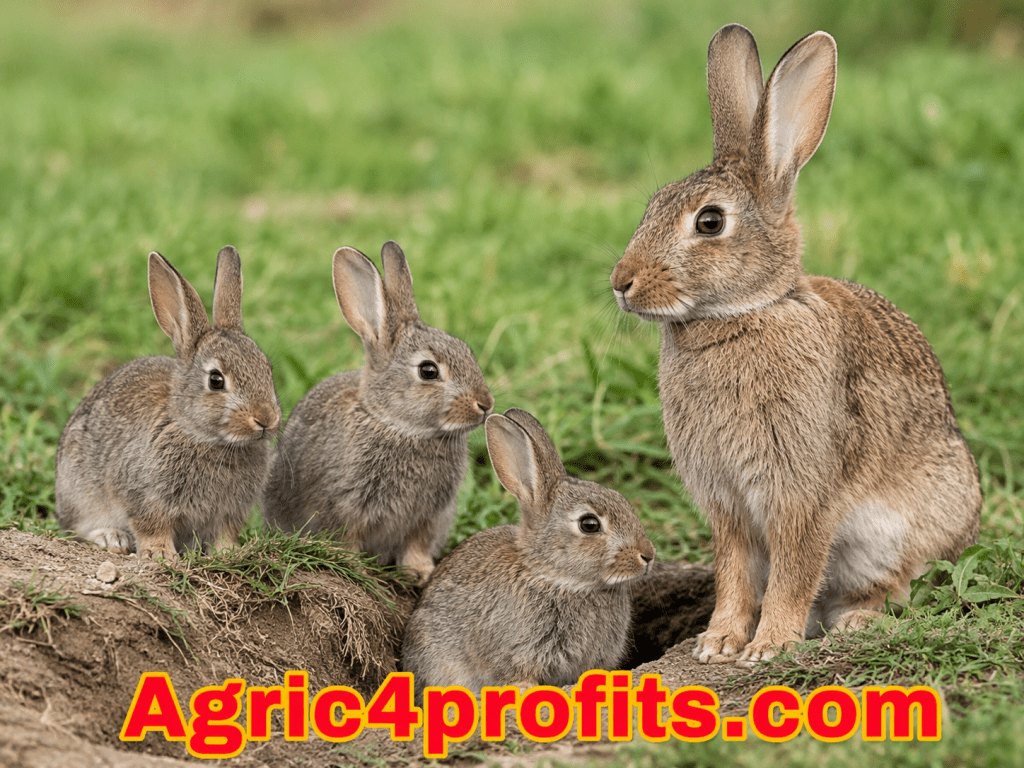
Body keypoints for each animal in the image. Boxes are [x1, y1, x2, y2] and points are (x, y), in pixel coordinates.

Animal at [55, 247, 282, 561]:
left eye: (267, 370)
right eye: (216, 380)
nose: (266, 419)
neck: (206, 438)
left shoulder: (229, 513)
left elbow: (224, 533)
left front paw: (228, 554)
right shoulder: (145, 495)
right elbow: (152, 526)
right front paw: (160, 555)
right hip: (79, 494)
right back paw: (112, 537)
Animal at [262, 241, 494, 585]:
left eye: (467, 351)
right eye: (428, 371)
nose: (485, 404)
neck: (398, 426)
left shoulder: (428, 517)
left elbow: (416, 546)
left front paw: (420, 573)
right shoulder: (346, 505)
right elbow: (347, 539)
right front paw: (355, 569)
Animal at [609, 24, 981, 665]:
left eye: (710, 222)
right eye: (653, 205)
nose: (621, 282)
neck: (740, 314)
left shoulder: (800, 493)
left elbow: (794, 569)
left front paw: (768, 646)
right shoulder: (728, 505)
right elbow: (735, 573)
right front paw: (718, 642)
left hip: (895, 536)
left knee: (893, 590)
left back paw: (854, 623)